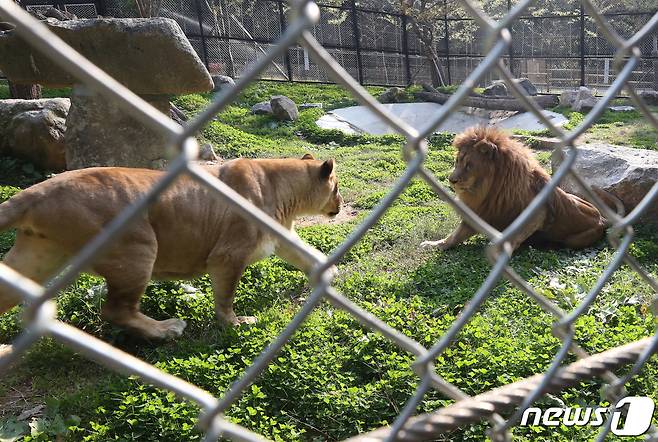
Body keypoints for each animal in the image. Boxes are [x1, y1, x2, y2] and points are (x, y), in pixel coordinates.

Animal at [0, 154, 340, 340]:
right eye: (336, 188)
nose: (339, 205)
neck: (282, 192)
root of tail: (36, 191)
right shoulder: (227, 256)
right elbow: (226, 296)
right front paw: (235, 323)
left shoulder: (280, 236)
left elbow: (307, 254)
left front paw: (330, 273)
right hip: (136, 249)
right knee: (114, 310)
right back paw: (167, 330)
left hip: (37, 256)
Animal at [420, 126, 620, 252]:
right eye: (457, 161)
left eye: (469, 165)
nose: (451, 180)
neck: (487, 190)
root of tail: (602, 219)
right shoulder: (478, 213)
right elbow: (453, 237)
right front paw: (434, 244)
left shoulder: (538, 213)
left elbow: (517, 234)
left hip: (575, 239)